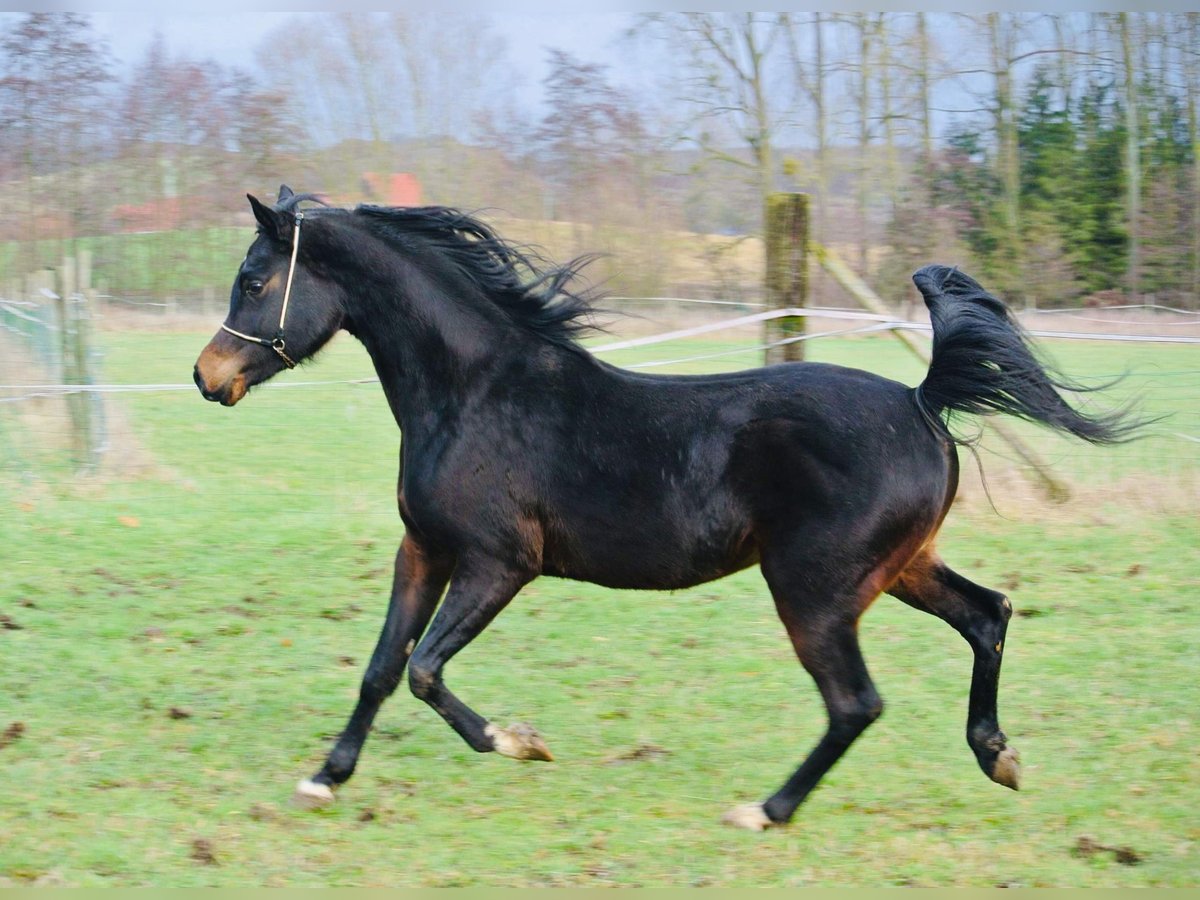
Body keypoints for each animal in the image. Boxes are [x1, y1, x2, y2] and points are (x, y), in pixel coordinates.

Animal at [192, 188, 1137, 830]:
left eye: (253, 279)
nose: (208, 377)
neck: (472, 393)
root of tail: (921, 399)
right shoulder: (423, 548)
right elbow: (383, 667)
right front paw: (325, 777)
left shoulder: (501, 563)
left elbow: (425, 670)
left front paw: (522, 742)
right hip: (901, 568)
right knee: (988, 614)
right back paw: (999, 757)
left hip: (814, 589)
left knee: (857, 703)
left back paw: (766, 810)